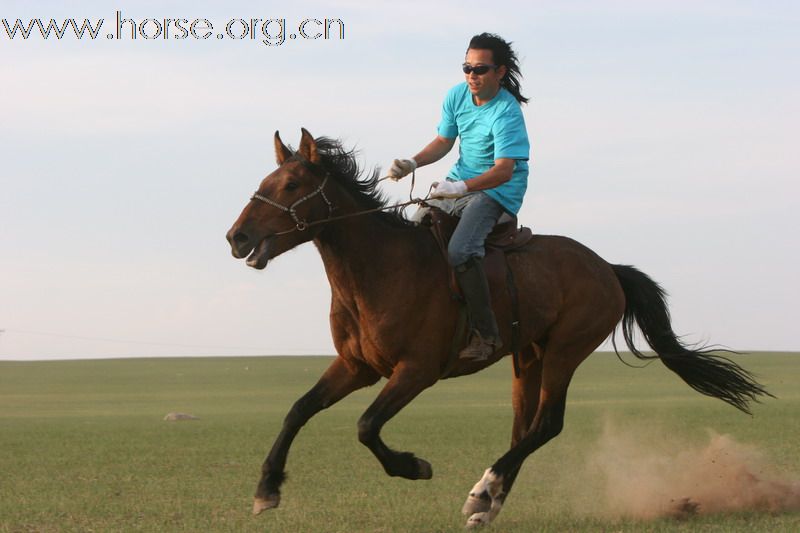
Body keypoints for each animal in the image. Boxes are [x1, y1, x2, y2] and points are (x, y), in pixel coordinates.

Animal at [223, 129, 768, 528]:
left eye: (292, 186)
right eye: (268, 179)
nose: (237, 236)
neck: (381, 270)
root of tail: (608, 269)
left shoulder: (416, 371)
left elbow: (366, 426)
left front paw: (414, 466)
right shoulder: (357, 367)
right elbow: (298, 410)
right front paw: (266, 490)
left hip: (565, 351)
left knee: (547, 424)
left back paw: (482, 490)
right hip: (527, 357)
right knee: (523, 428)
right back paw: (489, 501)